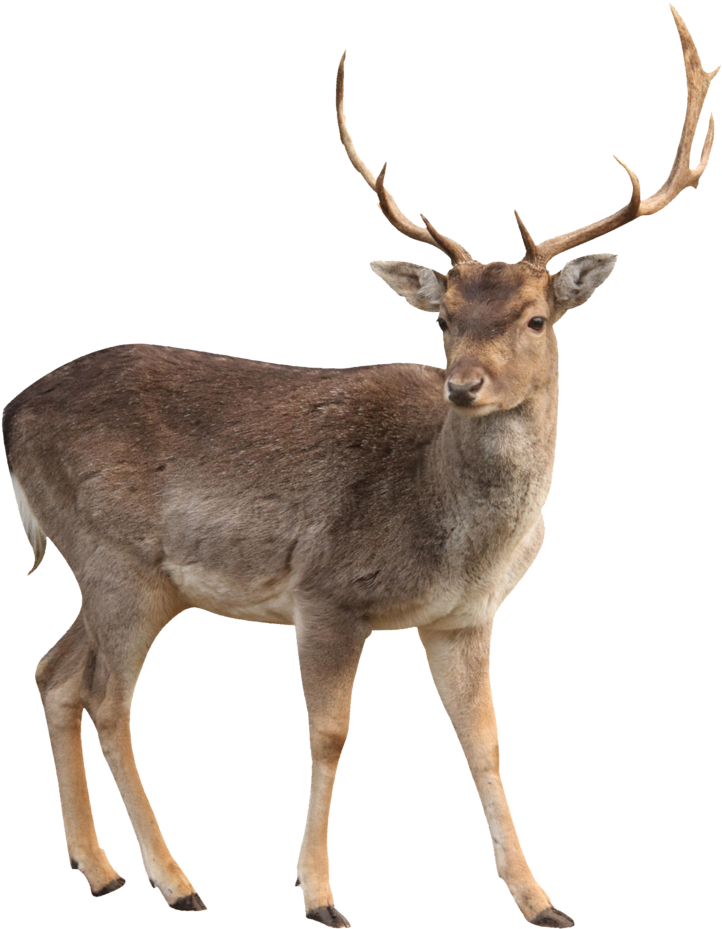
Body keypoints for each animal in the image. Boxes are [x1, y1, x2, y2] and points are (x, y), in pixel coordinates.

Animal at [4, 4, 717, 927]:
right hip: (115, 559)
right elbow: (330, 732)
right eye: (443, 317)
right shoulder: (327, 594)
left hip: (127, 577)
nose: (463, 384)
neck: (452, 531)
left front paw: (540, 899)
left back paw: (100, 869)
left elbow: (485, 741)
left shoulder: (465, 616)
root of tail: (10, 414)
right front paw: (319, 895)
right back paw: (175, 880)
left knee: (56, 673)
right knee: (105, 695)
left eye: (535, 318)